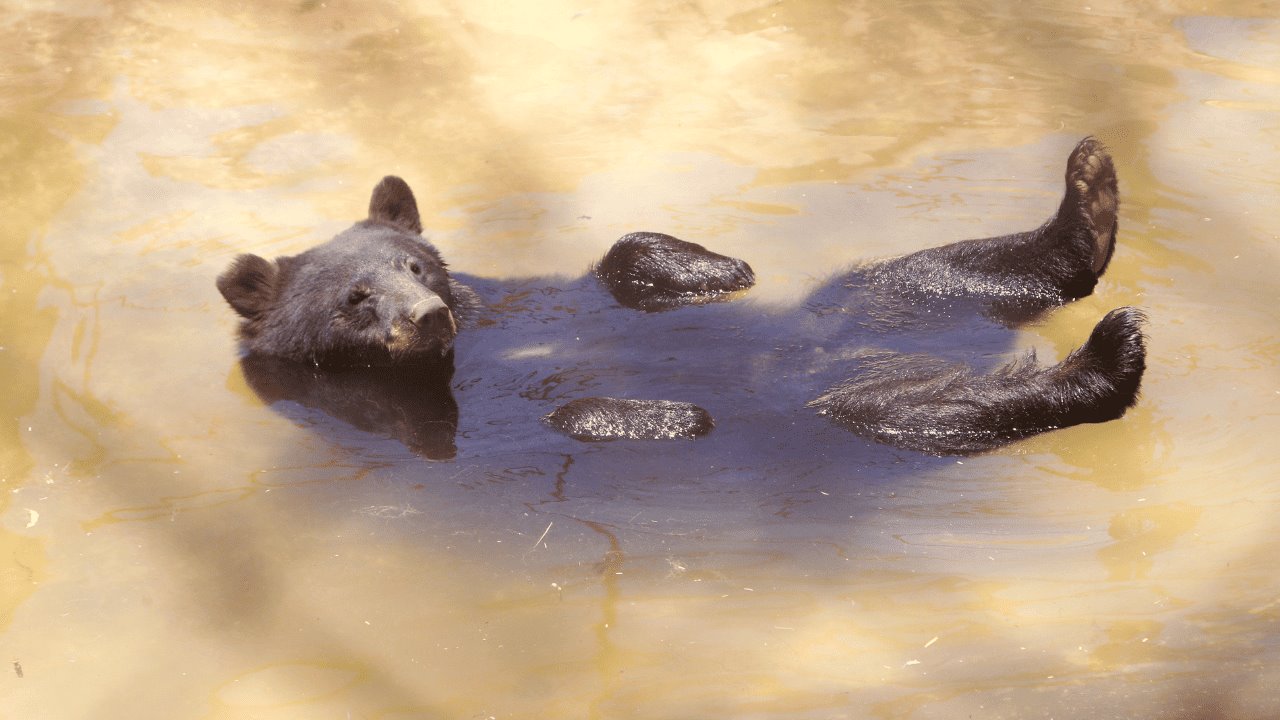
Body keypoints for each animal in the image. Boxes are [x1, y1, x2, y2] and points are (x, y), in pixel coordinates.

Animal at [215, 137, 1146, 456]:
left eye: (415, 266)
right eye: (353, 299)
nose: (429, 316)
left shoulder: (516, 296)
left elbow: (621, 256)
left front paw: (709, 268)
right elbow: (570, 410)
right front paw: (666, 414)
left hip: (877, 296)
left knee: (938, 269)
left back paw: (1090, 196)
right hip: (851, 402)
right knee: (934, 408)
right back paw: (1111, 349)